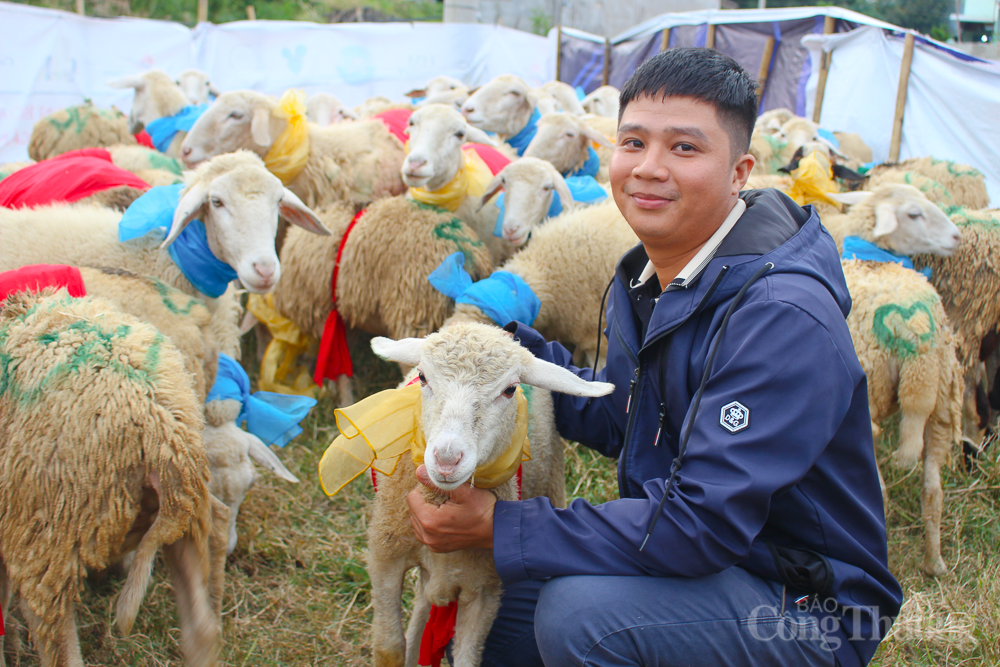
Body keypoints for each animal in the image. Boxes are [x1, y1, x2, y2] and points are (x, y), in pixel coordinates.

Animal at [320, 324, 612, 667]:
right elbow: (388, 647)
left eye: (510, 390)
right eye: (422, 377)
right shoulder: (385, 556)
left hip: (551, 480)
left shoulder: (485, 586)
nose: (446, 459)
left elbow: (467, 657)